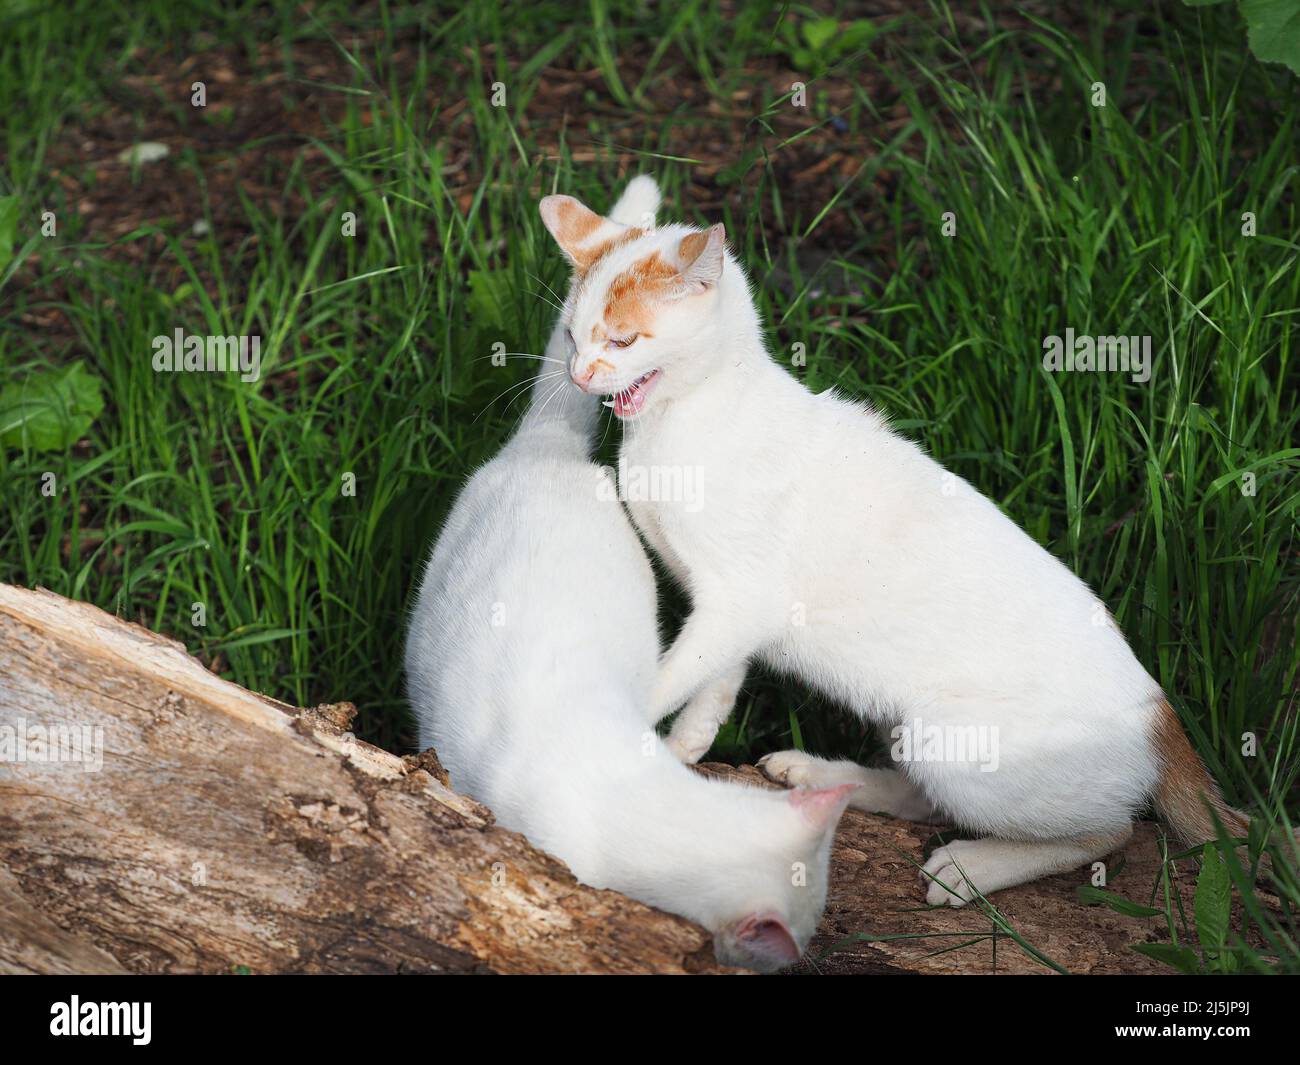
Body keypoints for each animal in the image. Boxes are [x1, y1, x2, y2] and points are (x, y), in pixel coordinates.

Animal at [535, 175, 1248, 910]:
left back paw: (969, 867)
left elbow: (671, 676)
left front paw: (622, 729)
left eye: (622, 341)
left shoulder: (741, 598)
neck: (676, 424)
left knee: (1107, 834)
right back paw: (826, 776)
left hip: (954, 741)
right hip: (909, 727)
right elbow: (714, 683)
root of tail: (1161, 711)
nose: (582, 375)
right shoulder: (732, 612)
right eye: (573, 336)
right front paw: (683, 751)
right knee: (928, 798)